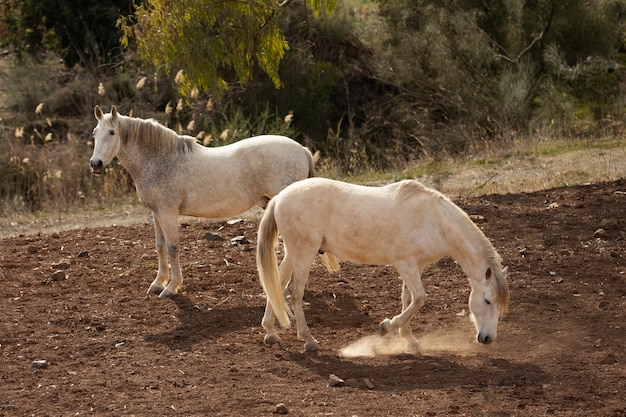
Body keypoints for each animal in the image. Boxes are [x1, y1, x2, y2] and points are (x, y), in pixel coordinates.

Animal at [90, 105, 314, 298]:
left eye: (112, 132)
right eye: (95, 132)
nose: (95, 164)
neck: (161, 159)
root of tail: (302, 149)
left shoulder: (168, 213)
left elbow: (172, 248)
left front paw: (171, 287)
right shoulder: (156, 213)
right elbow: (160, 246)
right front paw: (158, 283)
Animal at [256, 177, 510, 352]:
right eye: (488, 301)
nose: (488, 339)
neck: (435, 221)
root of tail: (280, 197)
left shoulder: (415, 266)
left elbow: (408, 300)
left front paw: (410, 341)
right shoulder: (405, 264)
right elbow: (419, 298)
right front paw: (387, 327)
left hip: (294, 253)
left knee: (277, 285)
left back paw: (271, 333)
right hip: (304, 253)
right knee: (295, 291)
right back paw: (308, 340)